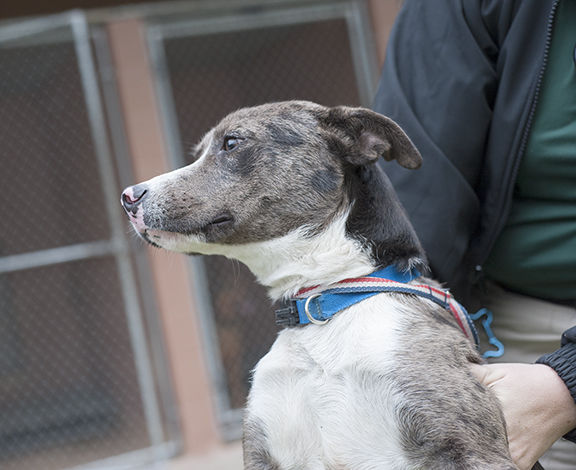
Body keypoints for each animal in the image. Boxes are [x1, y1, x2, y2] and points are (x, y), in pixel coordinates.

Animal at [121, 101, 516, 468]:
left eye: (231, 142)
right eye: (199, 152)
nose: (128, 196)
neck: (323, 301)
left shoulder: (469, 449)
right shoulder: (261, 452)